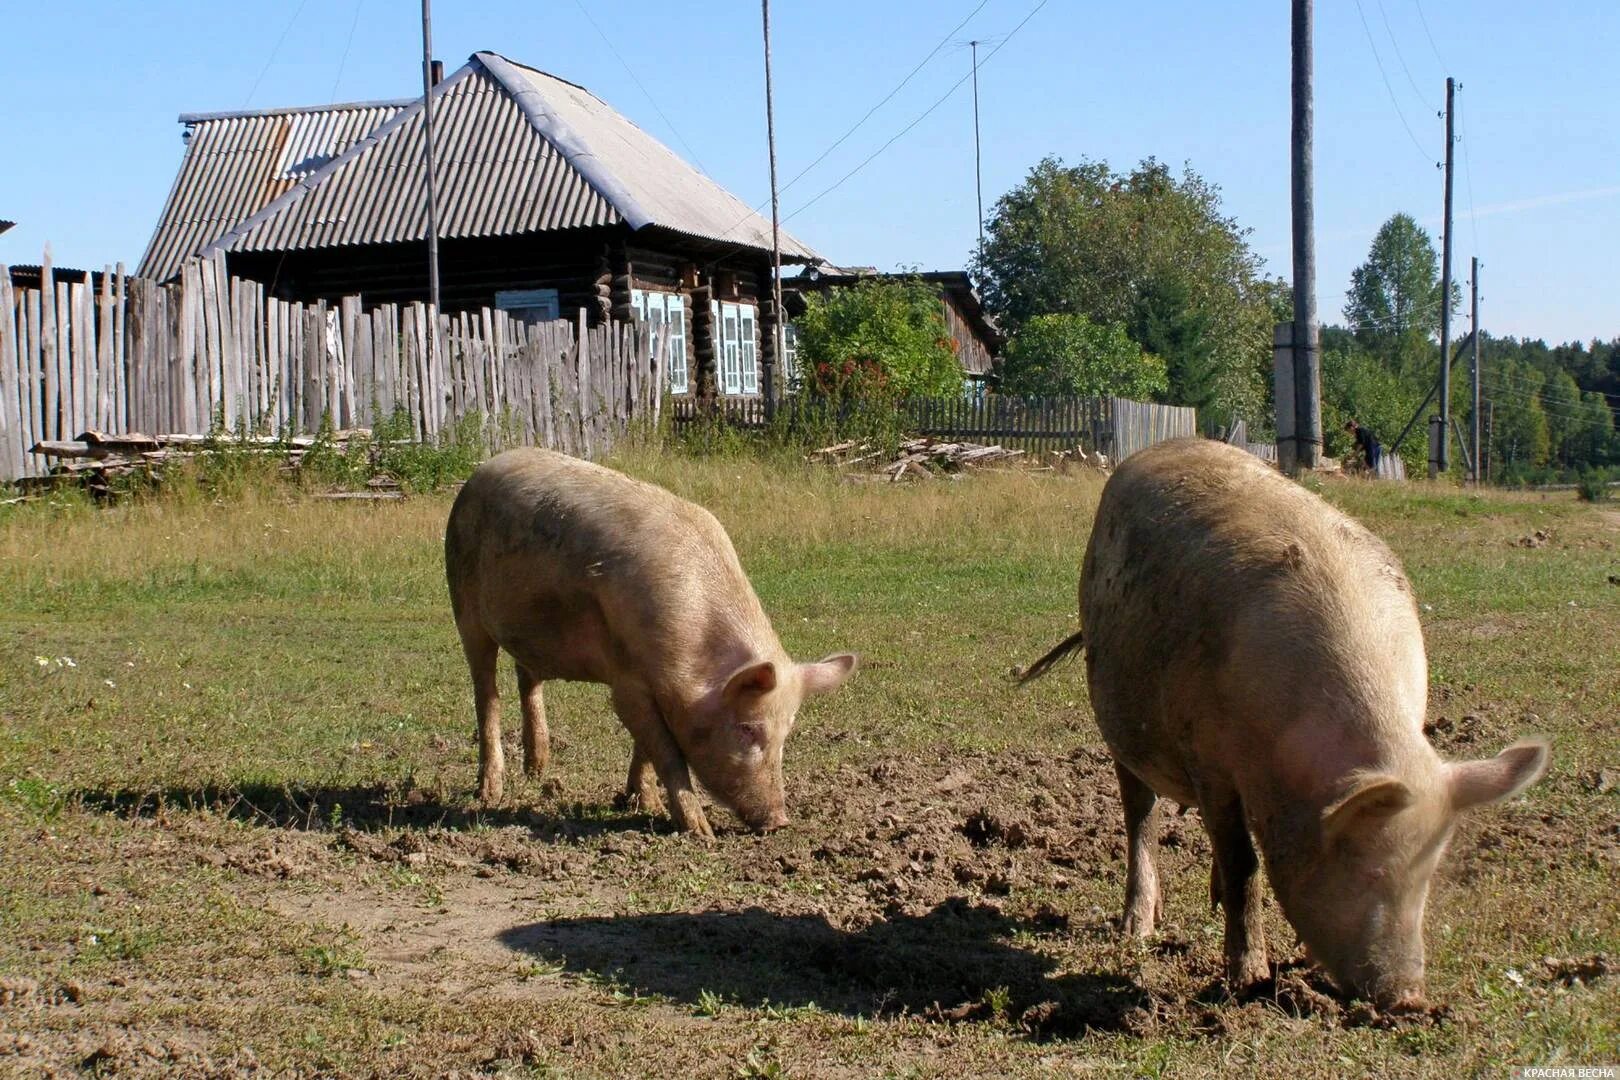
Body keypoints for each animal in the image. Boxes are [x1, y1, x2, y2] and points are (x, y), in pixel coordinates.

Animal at [437, 446, 855, 835]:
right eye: (747, 728)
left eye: (787, 733)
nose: (779, 821)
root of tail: (481, 470)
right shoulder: (627, 683)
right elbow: (666, 751)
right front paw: (700, 832)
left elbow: (647, 749)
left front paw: (645, 804)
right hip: (463, 605)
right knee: (486, 694)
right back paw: (489, 794)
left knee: (528, 678)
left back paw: (538, 771)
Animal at [1023, 433, 1542, 1010]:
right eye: (1368, 870)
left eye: (1427, 875)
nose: (1408, 999)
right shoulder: (1209, 759)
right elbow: (1244, 862)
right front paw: (1248, 980)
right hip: (1118, 717)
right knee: (1140, 813)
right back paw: (1138, 928)